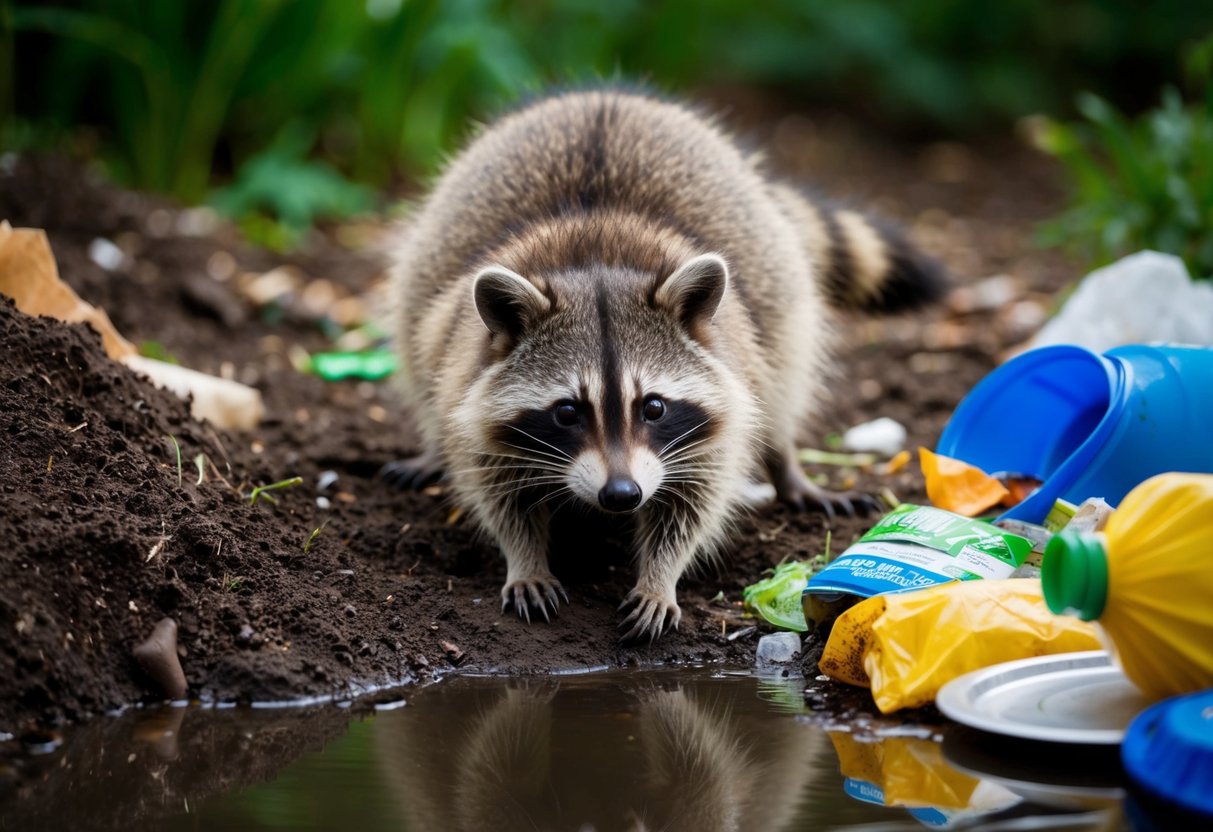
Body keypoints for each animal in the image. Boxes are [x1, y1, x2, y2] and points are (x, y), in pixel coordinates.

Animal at [385, 89, 943, 641]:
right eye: (567, 412)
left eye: (653, 407)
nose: (621, 494)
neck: (595, 263)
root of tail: (602, 96)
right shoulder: (471, 377)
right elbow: (496, 487)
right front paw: (525, 559)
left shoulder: (725, 385)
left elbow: (696, 498)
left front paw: (660, 576)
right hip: (428, 278)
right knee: (420, 356)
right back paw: (432, 448)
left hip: (777, 286)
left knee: (783, 382)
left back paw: (787, 467)